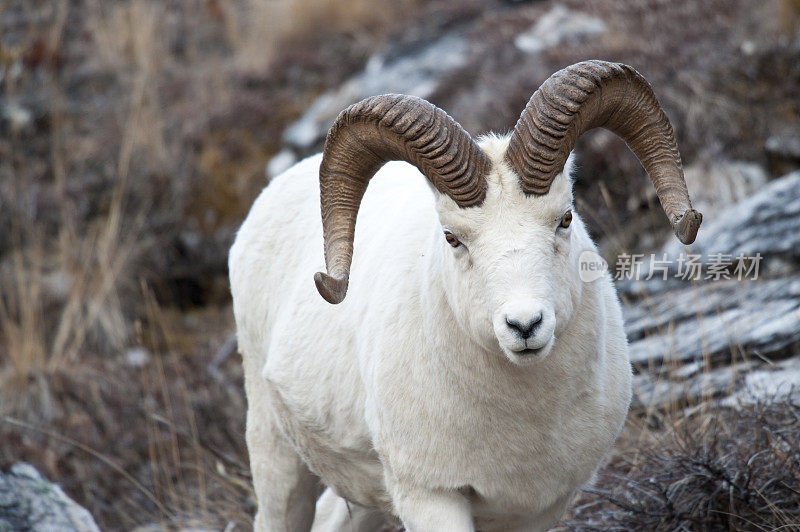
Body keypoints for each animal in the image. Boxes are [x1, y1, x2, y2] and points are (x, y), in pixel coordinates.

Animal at [230, 60, 700, 528]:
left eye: (565, 218)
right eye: (453, 238)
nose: (524, 325)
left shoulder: (539, 510)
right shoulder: (431, 497)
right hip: (276, 456)